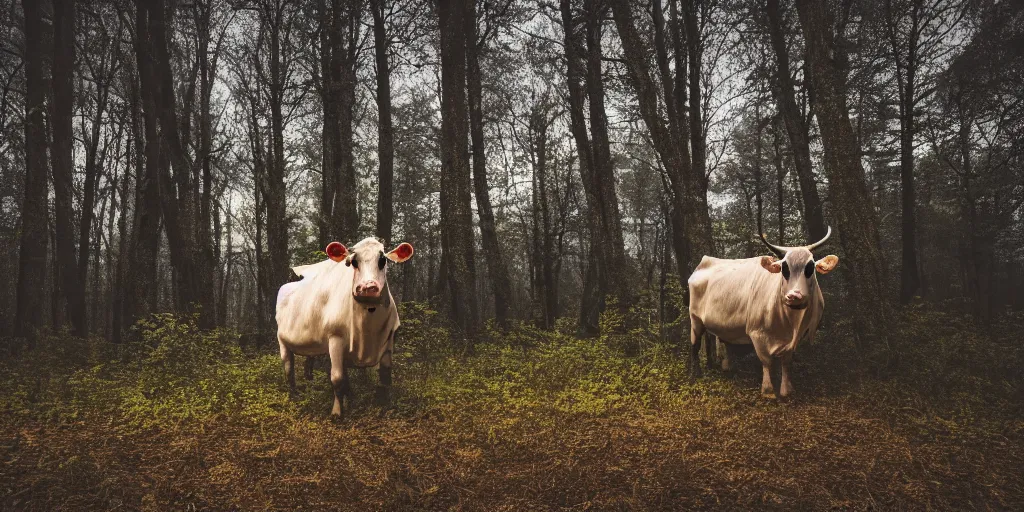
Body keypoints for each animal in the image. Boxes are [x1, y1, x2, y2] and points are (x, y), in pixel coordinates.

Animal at [276, 235, 415, 415]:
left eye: (382, 260)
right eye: (354, 262)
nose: (368, 287)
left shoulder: (389, 336)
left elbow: (385, 375)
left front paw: (385, 406)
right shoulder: (335, 338)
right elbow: (337, 377)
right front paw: (337, 412)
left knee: (309, 364)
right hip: (282, 342)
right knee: (288, 368)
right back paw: (294, 395)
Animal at [688, 228, 839, 399]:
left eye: (810, 267)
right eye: (784, 268)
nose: (794, 295)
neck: (789, 325)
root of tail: (705, 261)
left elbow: (786, 362)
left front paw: (786, 390)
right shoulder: (756, 333)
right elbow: (766, 361)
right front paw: (768, 391)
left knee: (712, 340)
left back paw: (719, 366)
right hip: (695, 319)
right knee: (695, 344)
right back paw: (696, 374)